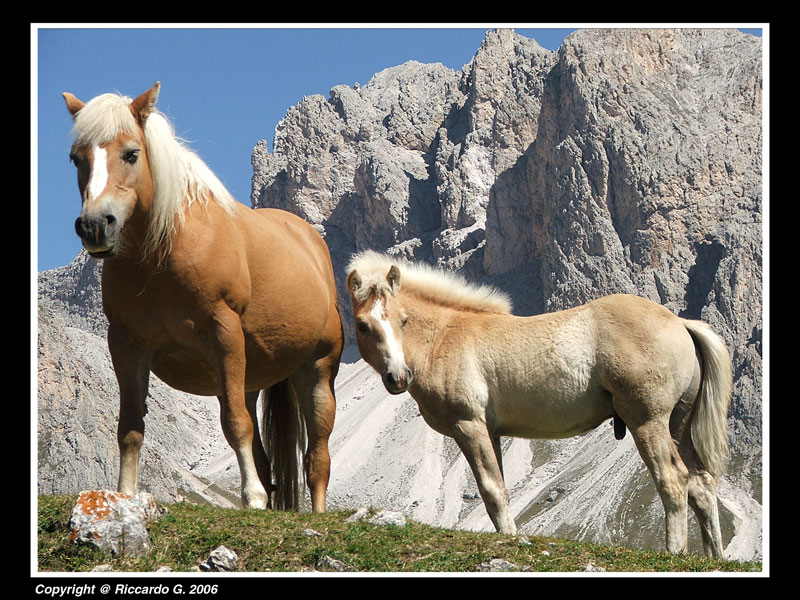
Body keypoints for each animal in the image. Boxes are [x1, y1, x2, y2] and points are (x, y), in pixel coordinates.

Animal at [62, 82, 343, 512]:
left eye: (131, 153)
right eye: (77, 158)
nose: (95, 225)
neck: (164, 254)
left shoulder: (222, 333)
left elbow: (235, 424)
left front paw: (253, 498)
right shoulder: (126, 344)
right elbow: (130, 427)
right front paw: (123, 495)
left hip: (316, 372)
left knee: (317, 459)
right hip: (251, 376)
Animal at [346, 251, 732, 557]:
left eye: (403, 320)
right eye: (363, 325)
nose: (399, 377)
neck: (444, 336)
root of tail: (680, 323)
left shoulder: (469, 426)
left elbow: (492, 490)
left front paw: (511, 541)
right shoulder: (491, 432)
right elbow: (499, 488)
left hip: (648, 422)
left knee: (673, 480)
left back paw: (675, 552)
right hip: (678, 424)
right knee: (701, 484)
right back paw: (713, 557)